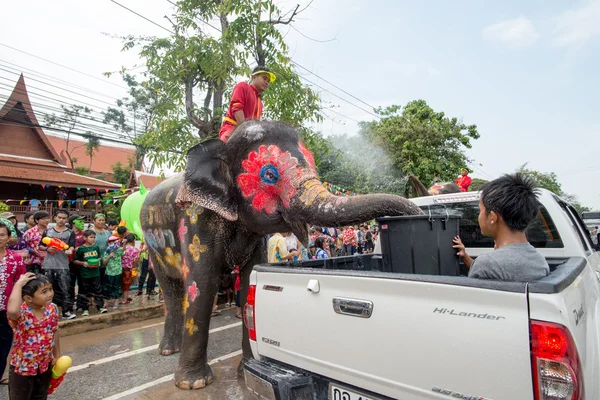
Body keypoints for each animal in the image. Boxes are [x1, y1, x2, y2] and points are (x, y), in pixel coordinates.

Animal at [141, 120, 422, 390]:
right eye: (269, 174)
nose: (419, 215)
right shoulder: (194, 218)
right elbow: (202, 283)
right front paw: (193, 383)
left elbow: (248, 285)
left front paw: (245, 373)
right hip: (152, 245)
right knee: (172, 290)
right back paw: (169, 349)